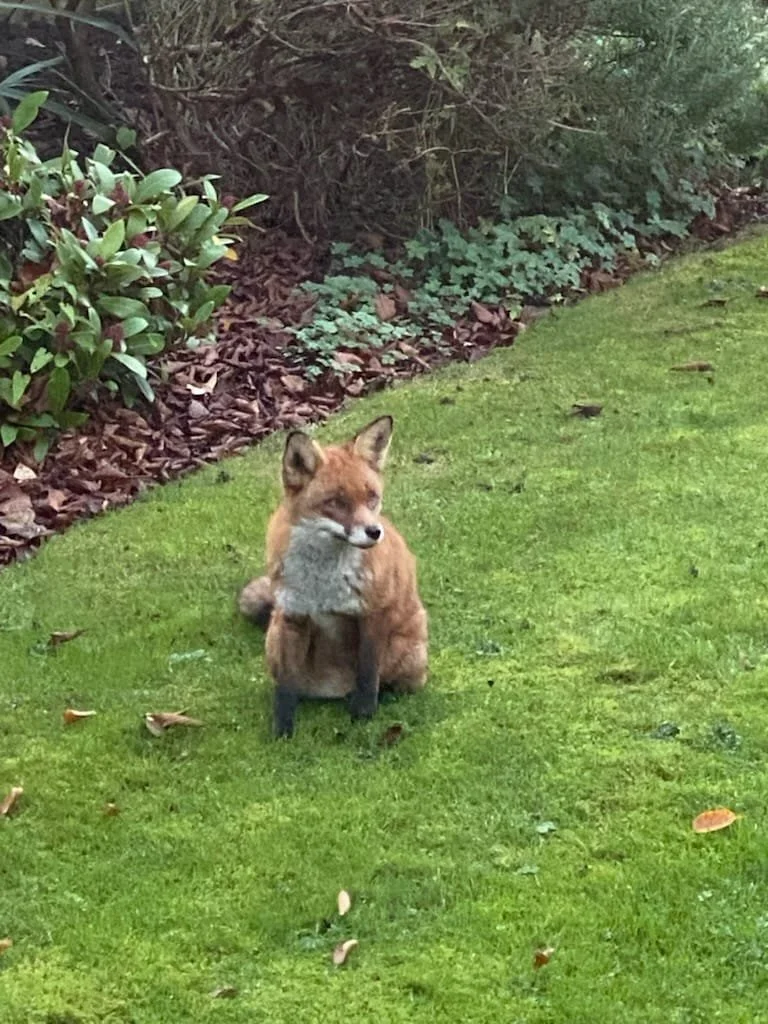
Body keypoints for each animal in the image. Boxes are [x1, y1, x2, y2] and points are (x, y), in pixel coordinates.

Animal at [238, 415, 428, 738]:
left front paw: (364, 714)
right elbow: (285, 689)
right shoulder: (292, 616)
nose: (375, 532)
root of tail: (334, 691)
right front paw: (282, 732)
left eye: (372, 498)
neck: (322, 583)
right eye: (336, 502)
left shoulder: (373, 612)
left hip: (409, 654)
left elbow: (368, 672)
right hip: (272, 642)